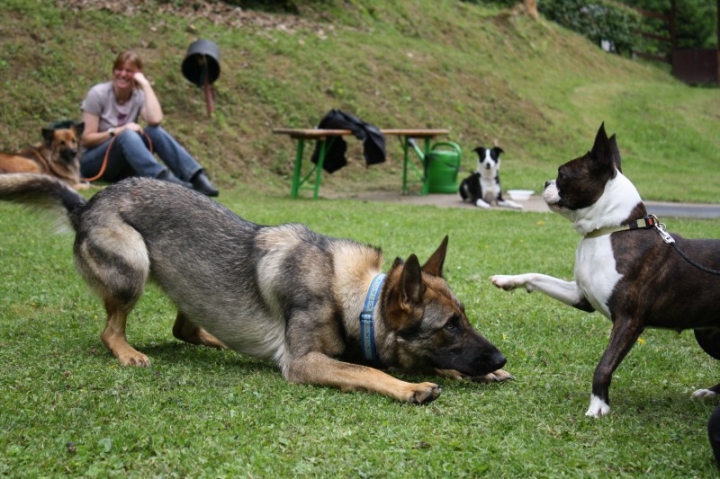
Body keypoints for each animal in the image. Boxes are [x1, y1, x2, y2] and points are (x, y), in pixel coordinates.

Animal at [0, 174, 510, 406]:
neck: (355, 299)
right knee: (111, 330)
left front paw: (476, 374)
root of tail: (87, 202)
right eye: (449, 326)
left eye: (465, 317)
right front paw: (412, 387)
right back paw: (127, 352)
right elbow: (371, 371)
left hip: (191, 283)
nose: (501, 357)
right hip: (133, 268)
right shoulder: (305, 363)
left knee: (185, 328)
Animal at [490, 123, 720, 416]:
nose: (545, 182)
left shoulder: (628, 321)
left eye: (562, 174)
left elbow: (603, 366)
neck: (610, 230)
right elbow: (538, 276)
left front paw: (598, 406)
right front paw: (507, 280)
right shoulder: (581, 296)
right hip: (708, 333)